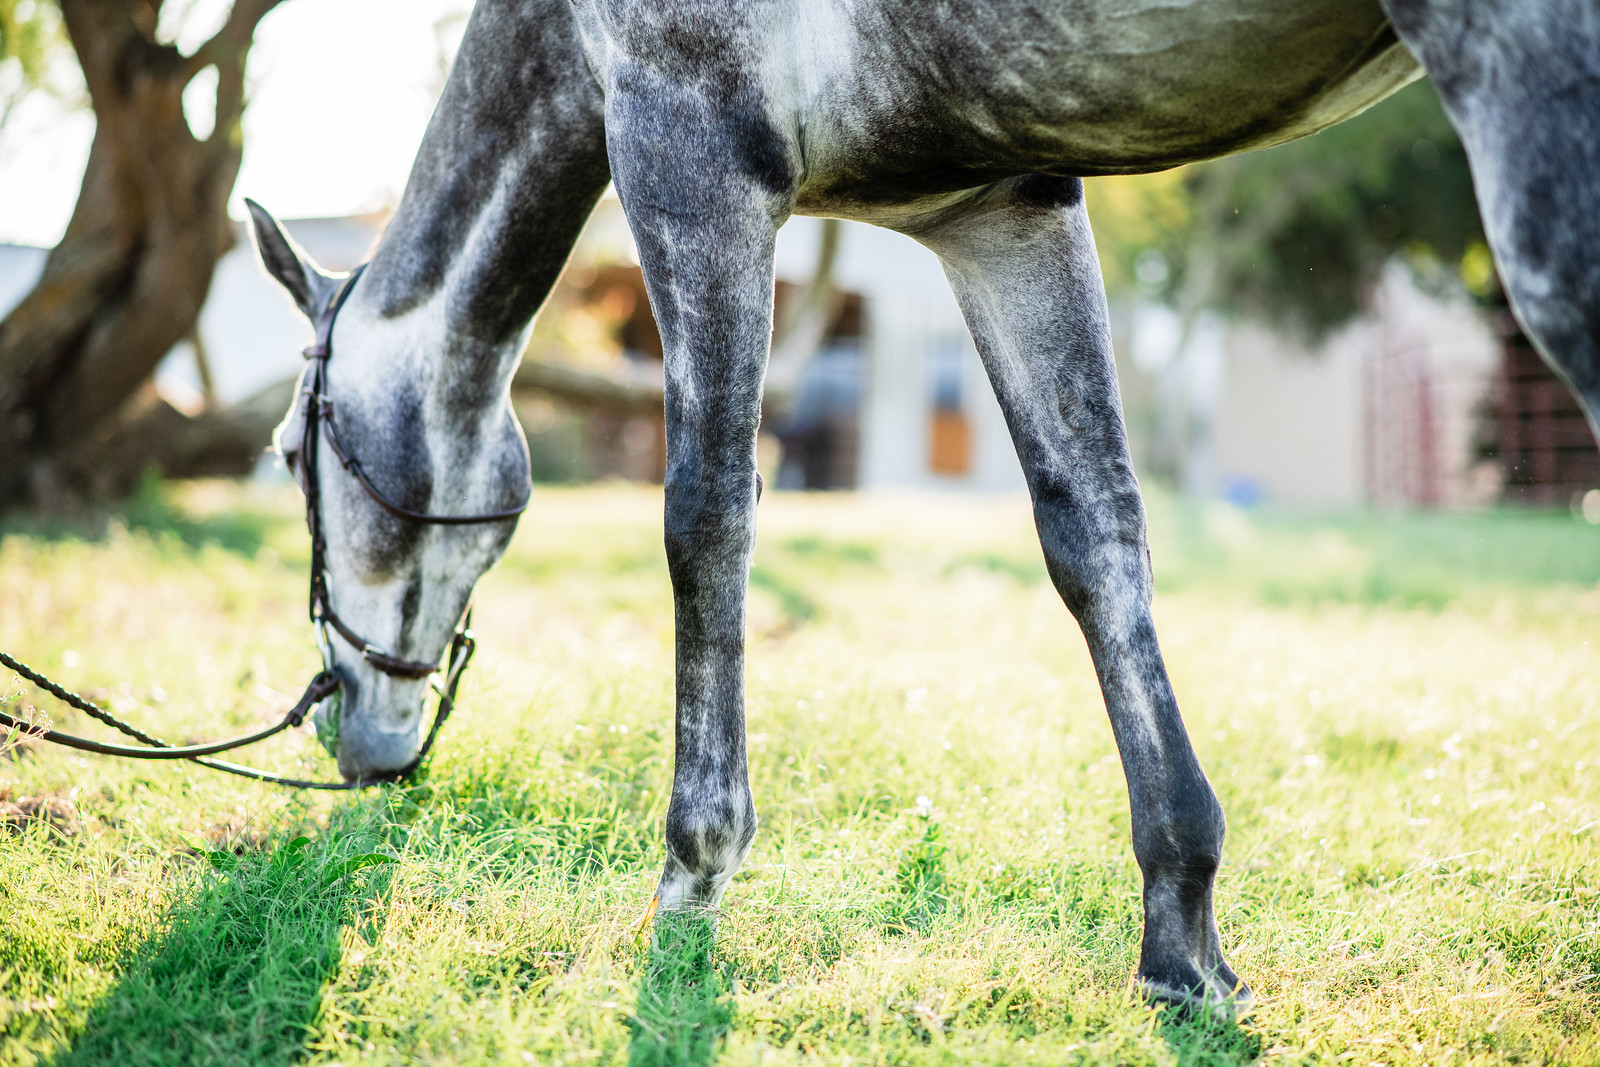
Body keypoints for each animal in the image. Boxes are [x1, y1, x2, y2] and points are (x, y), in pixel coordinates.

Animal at [246, 0, 1600, 1012]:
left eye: (288, 453)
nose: (354, 733)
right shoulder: (1004, 209)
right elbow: (1093, 531)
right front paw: (1181, 931)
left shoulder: (691, 155)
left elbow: (707, 515)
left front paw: (693, 873)